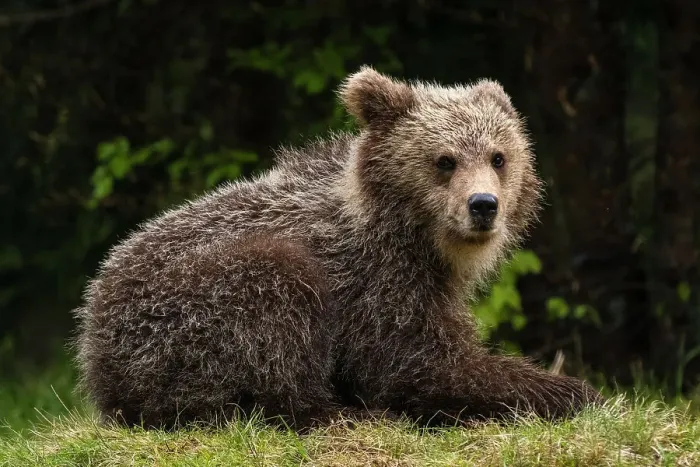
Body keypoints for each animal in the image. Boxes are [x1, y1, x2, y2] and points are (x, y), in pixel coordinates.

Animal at [74, 66, 602, 430]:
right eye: (445, 161)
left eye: (499, 157)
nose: (483, 205)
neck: (423, 240)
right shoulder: (376, 279)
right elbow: (419, 366)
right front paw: (575, 391)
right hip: (180, 313)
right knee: (278, 302)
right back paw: (337, 410)